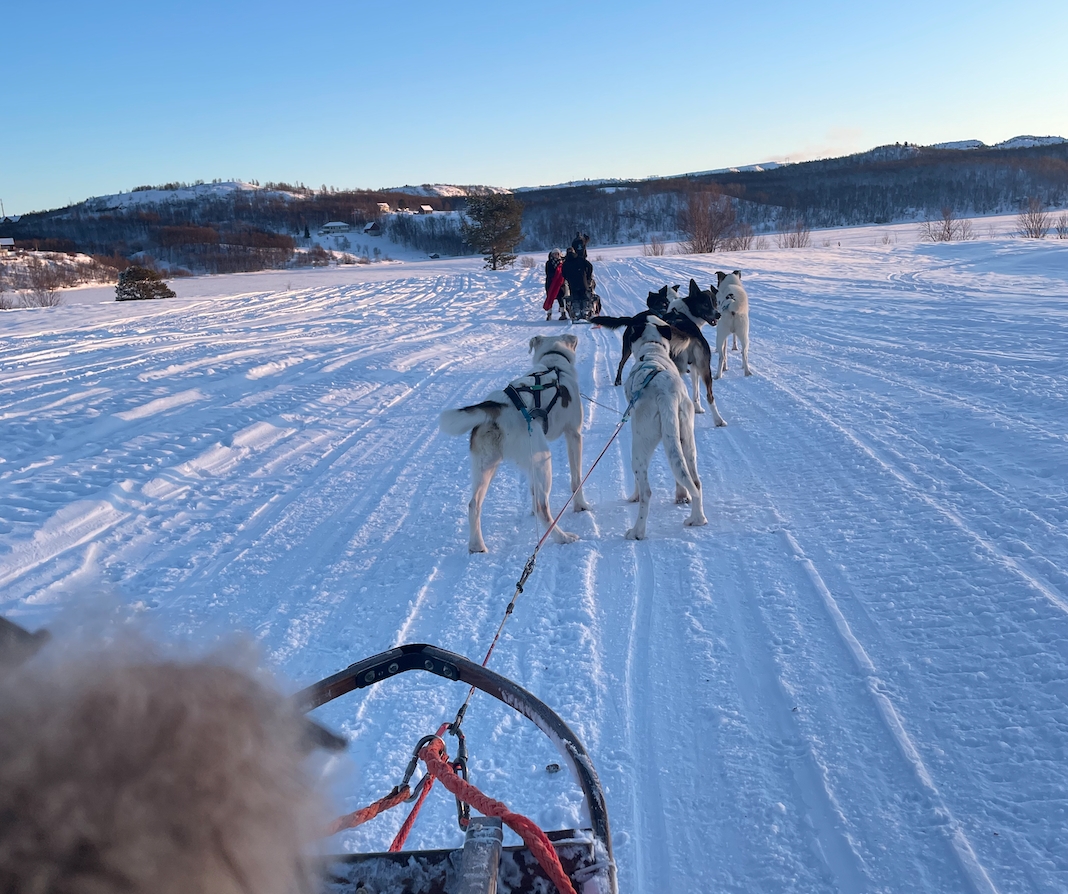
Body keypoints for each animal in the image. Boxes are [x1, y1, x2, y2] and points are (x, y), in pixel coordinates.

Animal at [437, 333, 589, 551]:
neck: (553, 363)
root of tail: (496, 406)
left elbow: (533, 491)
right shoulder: (574, 436)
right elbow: (576, 480)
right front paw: (581, 506)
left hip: (487, 466)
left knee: (474, 504)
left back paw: (477, 545)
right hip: (543, 459)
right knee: (543, 508)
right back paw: (562, 537)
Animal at [623, 320, 704, 544]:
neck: (652, 350)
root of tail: (667, 394)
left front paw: (632, 497)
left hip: (639, 448)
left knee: (646, 492)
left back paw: (637, 532)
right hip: (687, 441)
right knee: (695, 482)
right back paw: (697, 519)